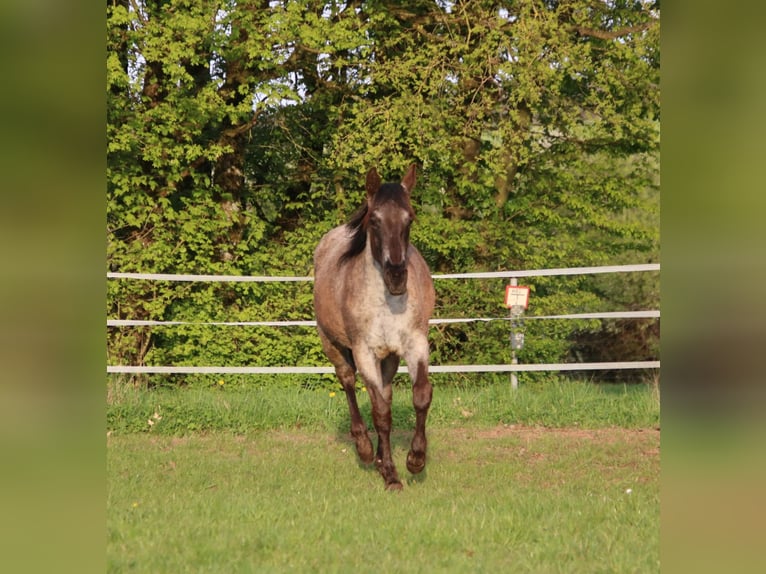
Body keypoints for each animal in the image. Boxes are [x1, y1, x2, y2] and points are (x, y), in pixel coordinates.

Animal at [313, 164, 435, 490]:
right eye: (376, 220)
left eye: (410, 218)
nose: (396, 275)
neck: (387, 303)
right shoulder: (364, 352)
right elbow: (380, 413)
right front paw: (391, 475)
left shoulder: (416, 343)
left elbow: (420, 396)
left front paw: (415, 460)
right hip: (333, 345)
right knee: (349, 383)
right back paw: (366, 449)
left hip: (389, 357)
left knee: (385, 391)